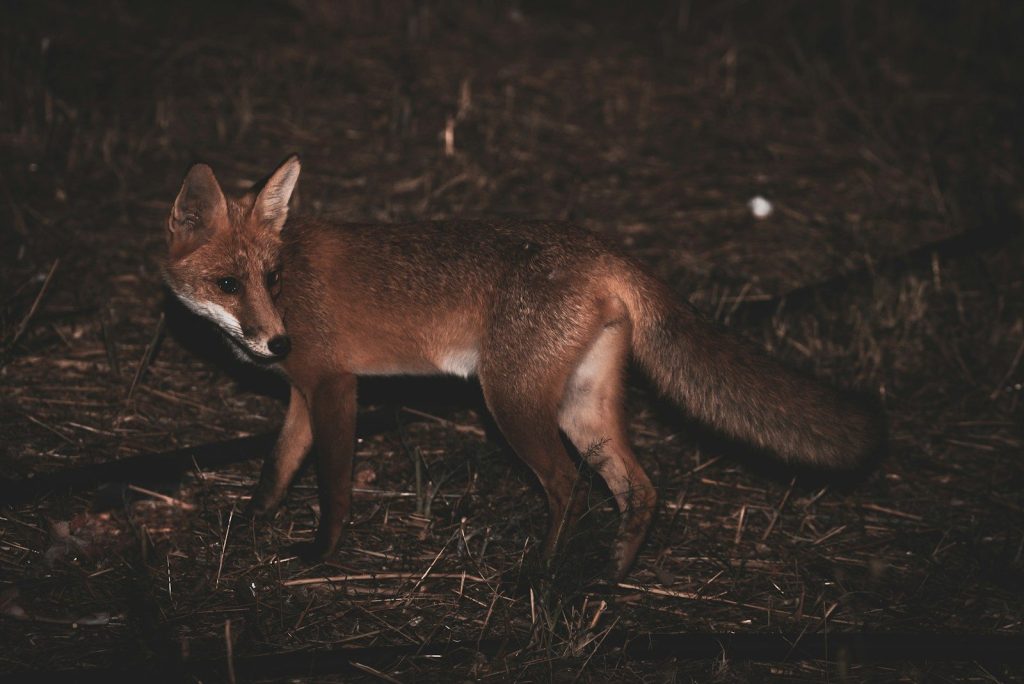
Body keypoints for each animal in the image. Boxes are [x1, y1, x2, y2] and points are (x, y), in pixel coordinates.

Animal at [162, 155, 884, 580]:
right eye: (228, 283)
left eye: (270, 278)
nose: (276, 344)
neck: (293, 292)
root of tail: (601, 247)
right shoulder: (301, 395)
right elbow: (275, 469)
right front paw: (251, 524)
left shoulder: (333, 386)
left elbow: (332, 486)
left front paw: (320, 555)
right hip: (581, 408)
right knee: (639, 489)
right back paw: (610, 577)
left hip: (510, 402)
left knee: (569, 488)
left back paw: (539, 575)